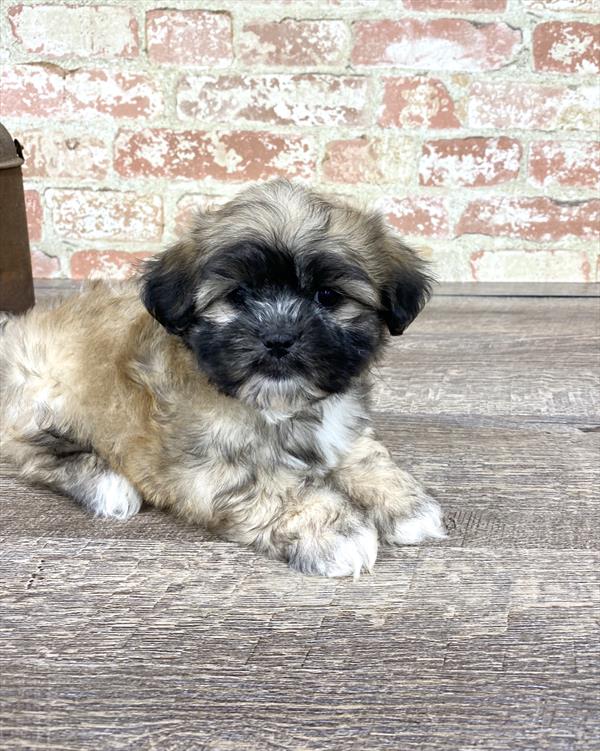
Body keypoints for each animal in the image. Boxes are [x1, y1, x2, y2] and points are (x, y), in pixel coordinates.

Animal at [0, 181, 446, 576]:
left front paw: (404, 503)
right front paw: (333, 530)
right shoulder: (202, 468)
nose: (278, 338)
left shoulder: (339, 428)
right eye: (237, 296)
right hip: (41, 393)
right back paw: (108, 486)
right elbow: (274, 487)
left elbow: (365, 456)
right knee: (35, 453)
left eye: (328, 297)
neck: (281, 407)